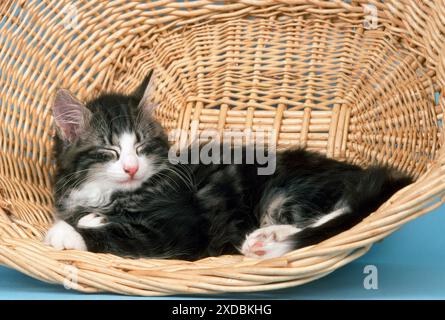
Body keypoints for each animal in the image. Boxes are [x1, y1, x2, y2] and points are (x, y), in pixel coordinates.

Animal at [43, 74, 412, 262]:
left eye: (142, 147)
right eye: (109, 151)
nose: (133, 169)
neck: (115, 194)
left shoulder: (181, 228)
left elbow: (120, 234)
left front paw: (66, 233)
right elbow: (90, 215)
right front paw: (88, 218)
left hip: (290, 189)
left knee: (343, 215)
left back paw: (266, 240)